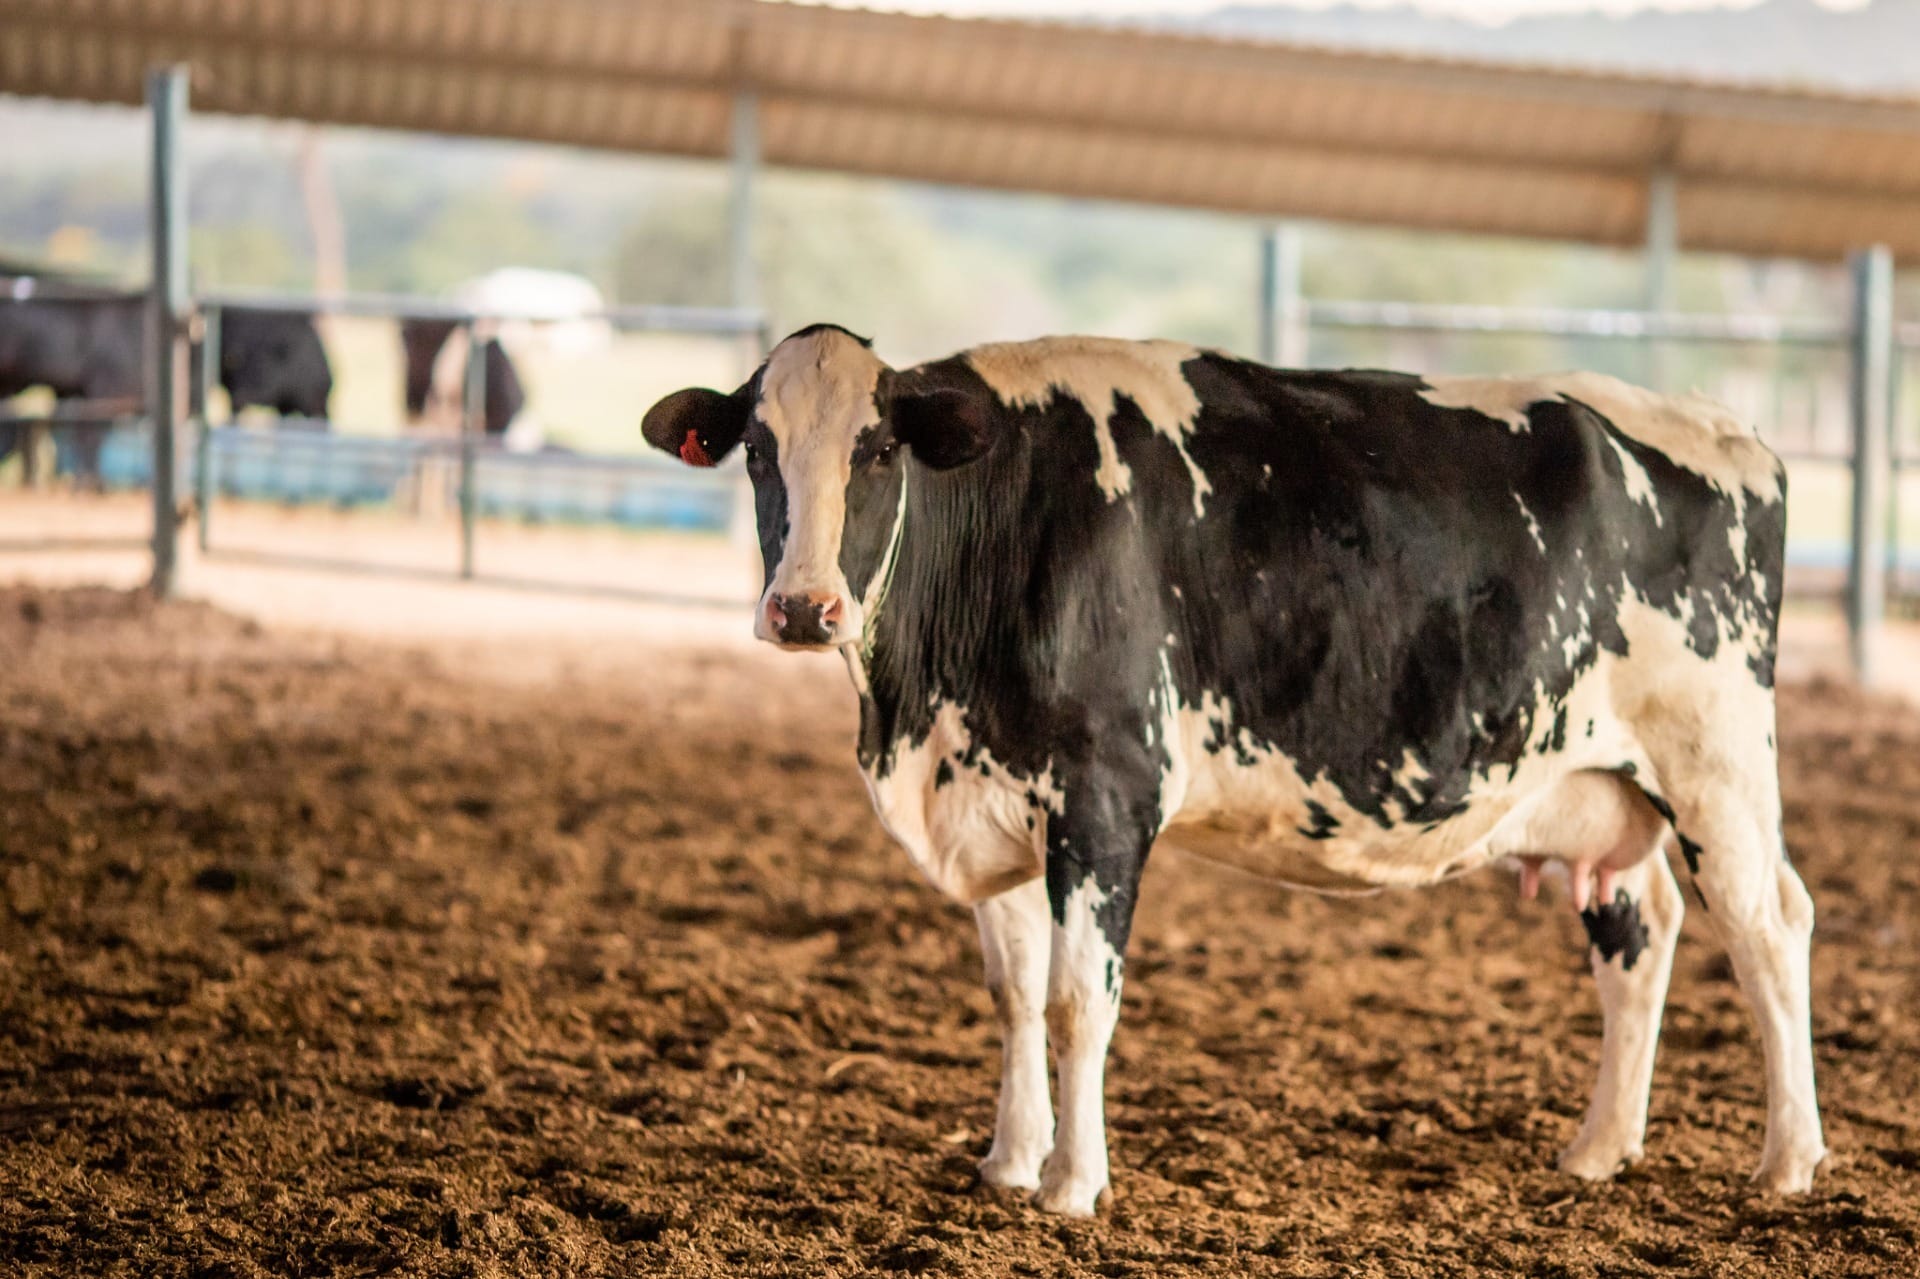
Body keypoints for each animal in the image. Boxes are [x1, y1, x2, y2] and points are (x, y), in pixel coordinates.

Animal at [640, 324, 1823, 1217]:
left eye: (879, 450)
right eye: (757, 452)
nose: (803, 607)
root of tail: (1725, 430)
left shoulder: (1105, 799)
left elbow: (1077, 998)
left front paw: (1073, 1184)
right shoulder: (992, 795)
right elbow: (1014, 992)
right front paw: (1010, 1162)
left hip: (1715, 758)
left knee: (1769, 925)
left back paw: (1788, 1161)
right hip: (1596, 780)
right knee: (1643, 929)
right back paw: (1599, 1148)